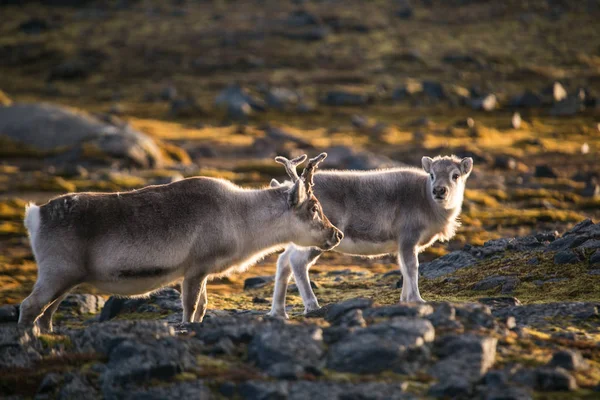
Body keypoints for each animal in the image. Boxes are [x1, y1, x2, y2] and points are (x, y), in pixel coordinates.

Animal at [21, 153, 340, 332]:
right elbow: (190, 307)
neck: (240, 218)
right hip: (56, 273)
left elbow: (202, 306)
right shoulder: (195, 268)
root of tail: (35, 215)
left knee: (46, 314)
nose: (336, 234)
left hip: (68, 280)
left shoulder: (204, 271)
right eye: (314, 207)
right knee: (29, 307)